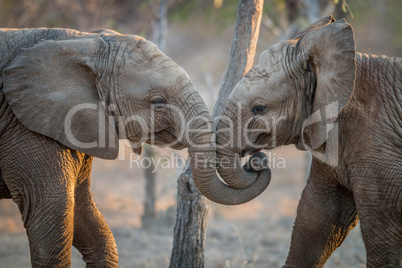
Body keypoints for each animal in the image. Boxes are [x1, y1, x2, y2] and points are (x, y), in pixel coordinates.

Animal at [0, 27, 270, 266]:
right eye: (158, 102)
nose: (258, 159)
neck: (80, 40)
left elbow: (85, 213)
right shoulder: (25, 128)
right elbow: (54, 210)